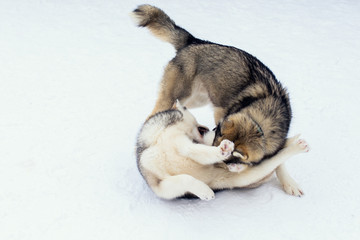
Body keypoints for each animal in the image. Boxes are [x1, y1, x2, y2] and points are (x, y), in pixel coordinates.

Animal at [136, 101, 310, 201]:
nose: (210, 128)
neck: (157, 137)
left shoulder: (184, 144)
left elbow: (199, 151)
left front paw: (223, 149)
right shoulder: (161, 186)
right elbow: (184, 178)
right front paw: (204, 191)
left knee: (277, 157)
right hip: (247, 177)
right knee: (274, 159)